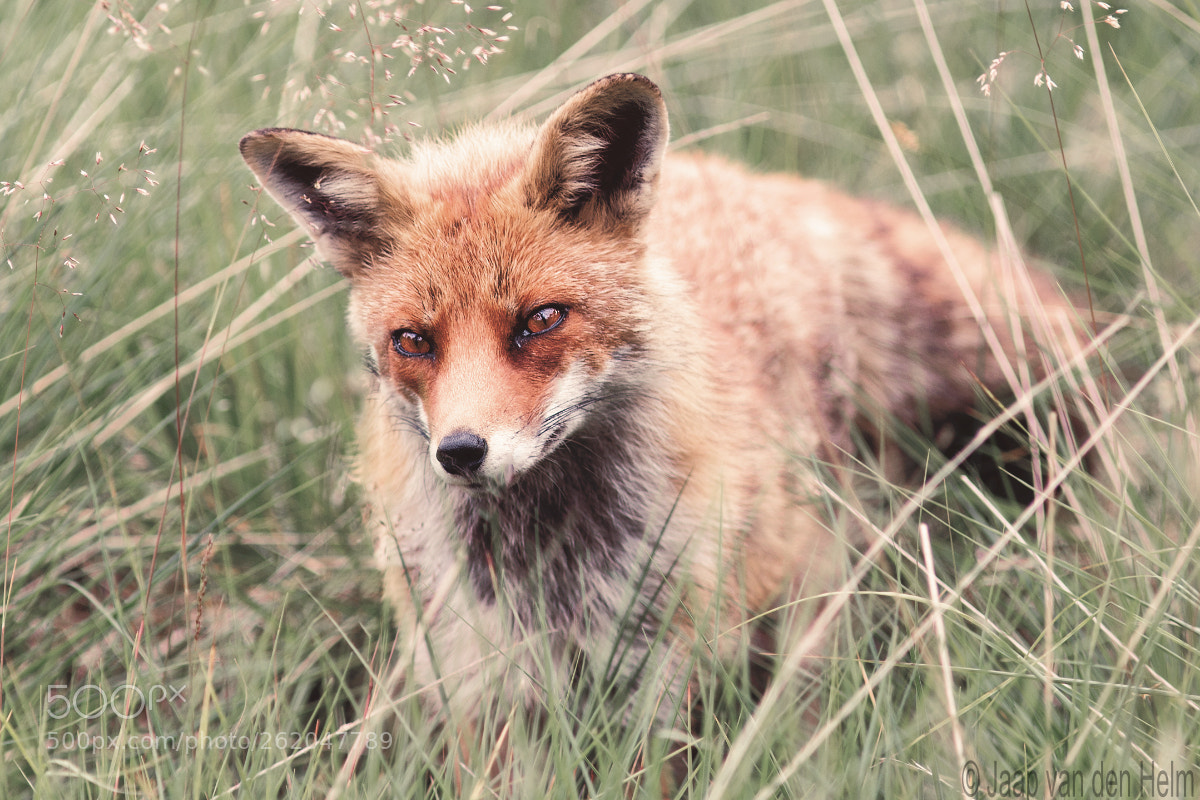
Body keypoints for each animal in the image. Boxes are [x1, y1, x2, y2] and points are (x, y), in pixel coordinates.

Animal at [240, 73, 1080, 766]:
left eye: (542, 320)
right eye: (413, 341)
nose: (462, 451)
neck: (556, 570)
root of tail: (754, 185)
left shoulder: (661, 679)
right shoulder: (481, 679)